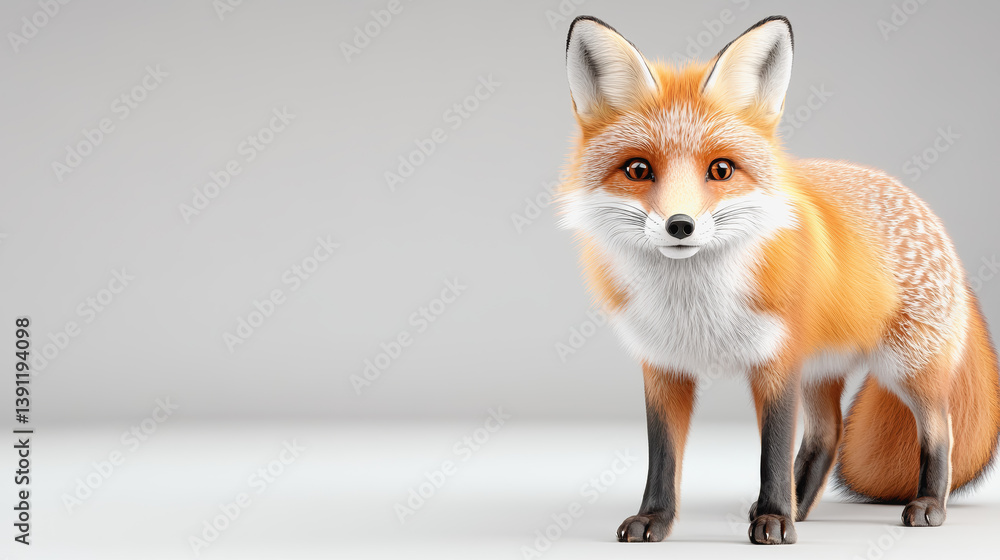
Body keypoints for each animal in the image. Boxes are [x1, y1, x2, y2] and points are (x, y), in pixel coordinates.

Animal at [557, 15, 1000, 544]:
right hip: (822, 371)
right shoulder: (664, 366)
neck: (695, 306)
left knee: (939, 428)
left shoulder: (776, 361)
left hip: (908, 368)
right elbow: (662, 456)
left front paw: (774, 518)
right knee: (828, 435)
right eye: (638, 169)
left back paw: (928, 503)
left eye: (721, 169)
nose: (680, 225)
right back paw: (802, 506)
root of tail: (925, 210)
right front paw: (656, 519)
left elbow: (772, 450)